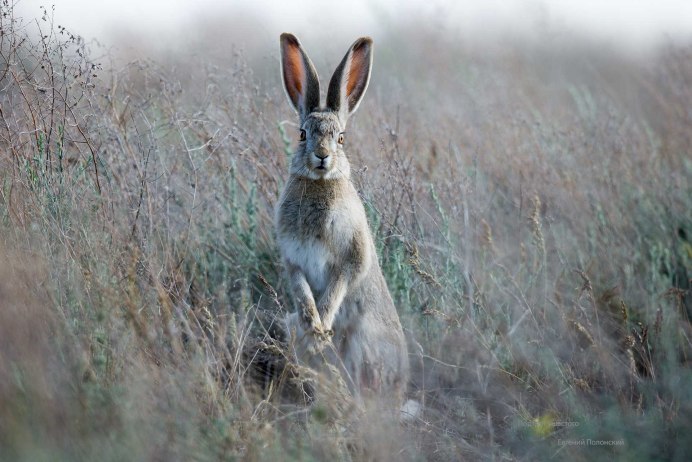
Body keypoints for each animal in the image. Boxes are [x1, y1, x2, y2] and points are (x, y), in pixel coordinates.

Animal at [275, 33, 409, 406]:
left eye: (341, 138)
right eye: (302, 134)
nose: (322, 157)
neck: (320, 185)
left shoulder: (351, 257)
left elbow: (337, 288)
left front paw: (321, 327)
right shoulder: (293, 260)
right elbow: (303, 292)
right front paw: (314, 327)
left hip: (364, 341)